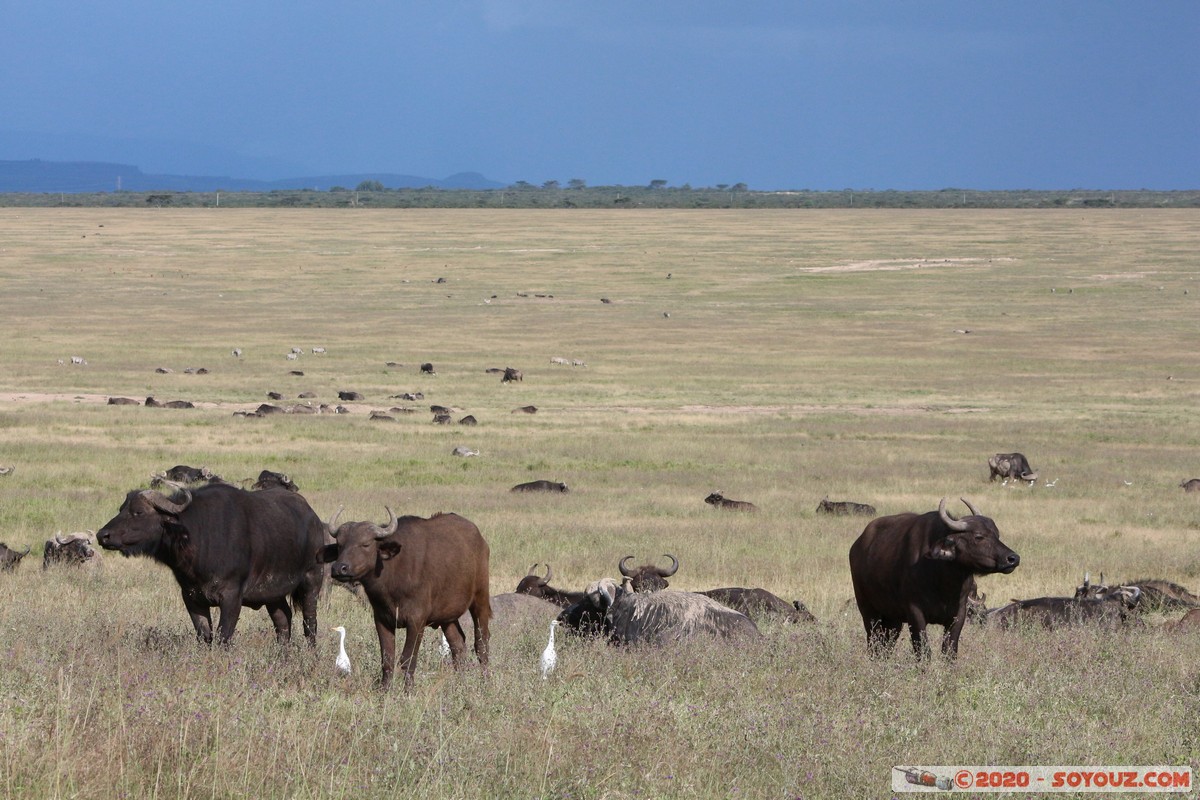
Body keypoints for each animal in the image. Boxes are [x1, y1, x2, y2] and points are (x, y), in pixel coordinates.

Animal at [96, 482, 326, 642]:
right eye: (121, 509)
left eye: (138, 512)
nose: (102, 535)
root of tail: (314, 519)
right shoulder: (191, 598)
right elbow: (205, 637)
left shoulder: (232, 597)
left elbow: (223, 637)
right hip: (273, 594)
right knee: (283, 621)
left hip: (311, 582)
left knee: (310, 624)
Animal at [321, 510, 489, 690]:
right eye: (340, 545)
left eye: (365, 544)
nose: (339, 568)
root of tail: (480, 540)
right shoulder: (382, 620)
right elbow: (387, 658)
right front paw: (385, 689)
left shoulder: (416, 622)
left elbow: (408, 659)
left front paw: (408, 690)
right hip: (447, 616)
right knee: (458, 646)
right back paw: (460, 684)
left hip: (480, 599)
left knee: (481, 644)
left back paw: (485, 681)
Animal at [844, 496, 1022, 662]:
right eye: (978, 536)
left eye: (997, 534)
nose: (1013, 558)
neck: (944, 582)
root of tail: (857, 546)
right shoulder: (915, 613)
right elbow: (923, 652)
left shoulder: (958, 615)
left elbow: (949, 652)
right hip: (869, 612)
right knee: (873, 643)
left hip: (893, 619)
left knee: (886, 646)